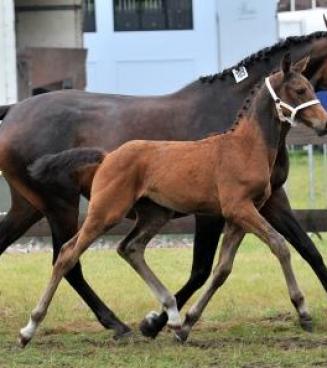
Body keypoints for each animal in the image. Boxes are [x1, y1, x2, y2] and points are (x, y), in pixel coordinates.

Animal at [19, 54, 327, 344]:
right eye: (300, 90)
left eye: (312, 87)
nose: (323, 124)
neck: (246, 146)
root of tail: (107, 157)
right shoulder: (238, 208)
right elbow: (280, 245)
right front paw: (303, 312)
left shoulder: (240, 216)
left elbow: (222, 269)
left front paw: (188, 322)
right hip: (105, 212)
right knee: (67, 254)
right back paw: (29, 329)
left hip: (155, 214)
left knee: (130, 248)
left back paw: (173, 317)